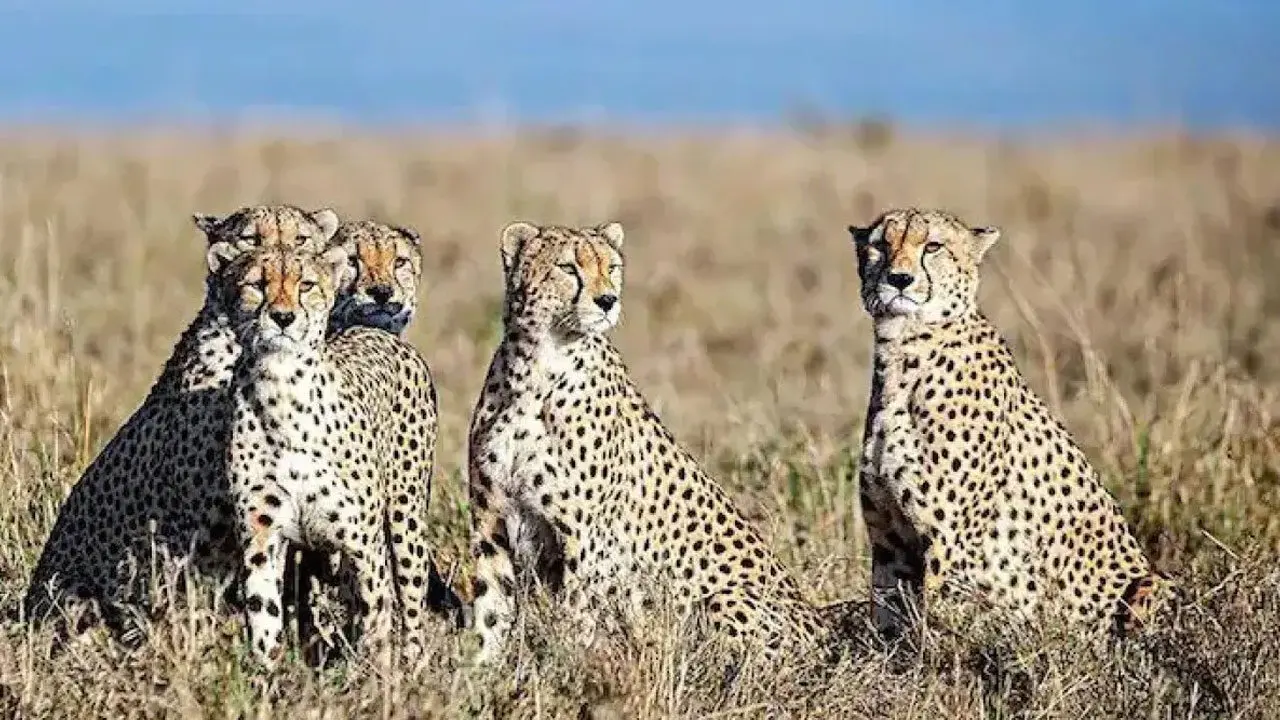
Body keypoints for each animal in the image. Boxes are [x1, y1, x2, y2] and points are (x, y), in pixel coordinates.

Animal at [219, 240, 442, 668]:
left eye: (306, 284)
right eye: (256, 284)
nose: (283, 317)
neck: (282, 390)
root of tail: (372, 330)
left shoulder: (363, 544)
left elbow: (377, 621)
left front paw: (377, 679)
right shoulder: (261, 539)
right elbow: (264, 620)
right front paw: (267, 678)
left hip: (405, 520)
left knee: (409, 603)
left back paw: (414, 664)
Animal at [466, 220, 837, 666]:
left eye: (610, 267)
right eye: (568, 268)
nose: (607, 300)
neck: (536, 368)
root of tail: (826, 631)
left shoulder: (585, 540)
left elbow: (575, 617)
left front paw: (570, 670)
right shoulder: (492, 522)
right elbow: (489, 610)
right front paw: (480, 673)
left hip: (724, 599)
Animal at [847, 206, 1175, 644]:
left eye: (932, 246)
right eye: (881, 245)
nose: (899, 279)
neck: (904, 350)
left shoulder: (950, 544)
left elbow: (932, 627)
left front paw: (928, 660)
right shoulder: (890, 541)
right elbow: (887, 617)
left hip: (1152, 584)